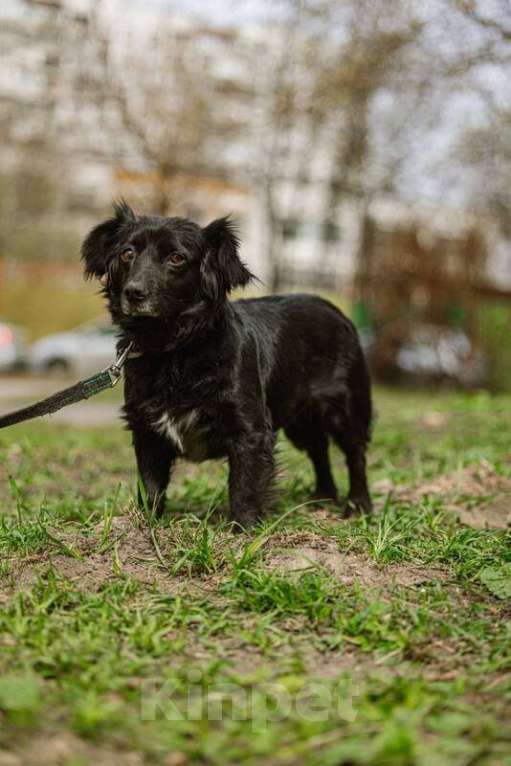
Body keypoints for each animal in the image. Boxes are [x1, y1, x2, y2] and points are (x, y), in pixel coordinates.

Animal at [82, 202, 374, 528]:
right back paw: (322, 498)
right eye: (127, 253)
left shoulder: (250, 429)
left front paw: (245, 529)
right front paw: (148, 524)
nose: (133, 292)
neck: (174, 349)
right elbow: (151, 485)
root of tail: (336, 311)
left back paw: (358, 505)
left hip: (345, 408)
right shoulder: (147, 428)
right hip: (300, 419)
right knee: (319, 451)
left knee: (355, 455)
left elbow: (244, 484)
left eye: (176, 258)